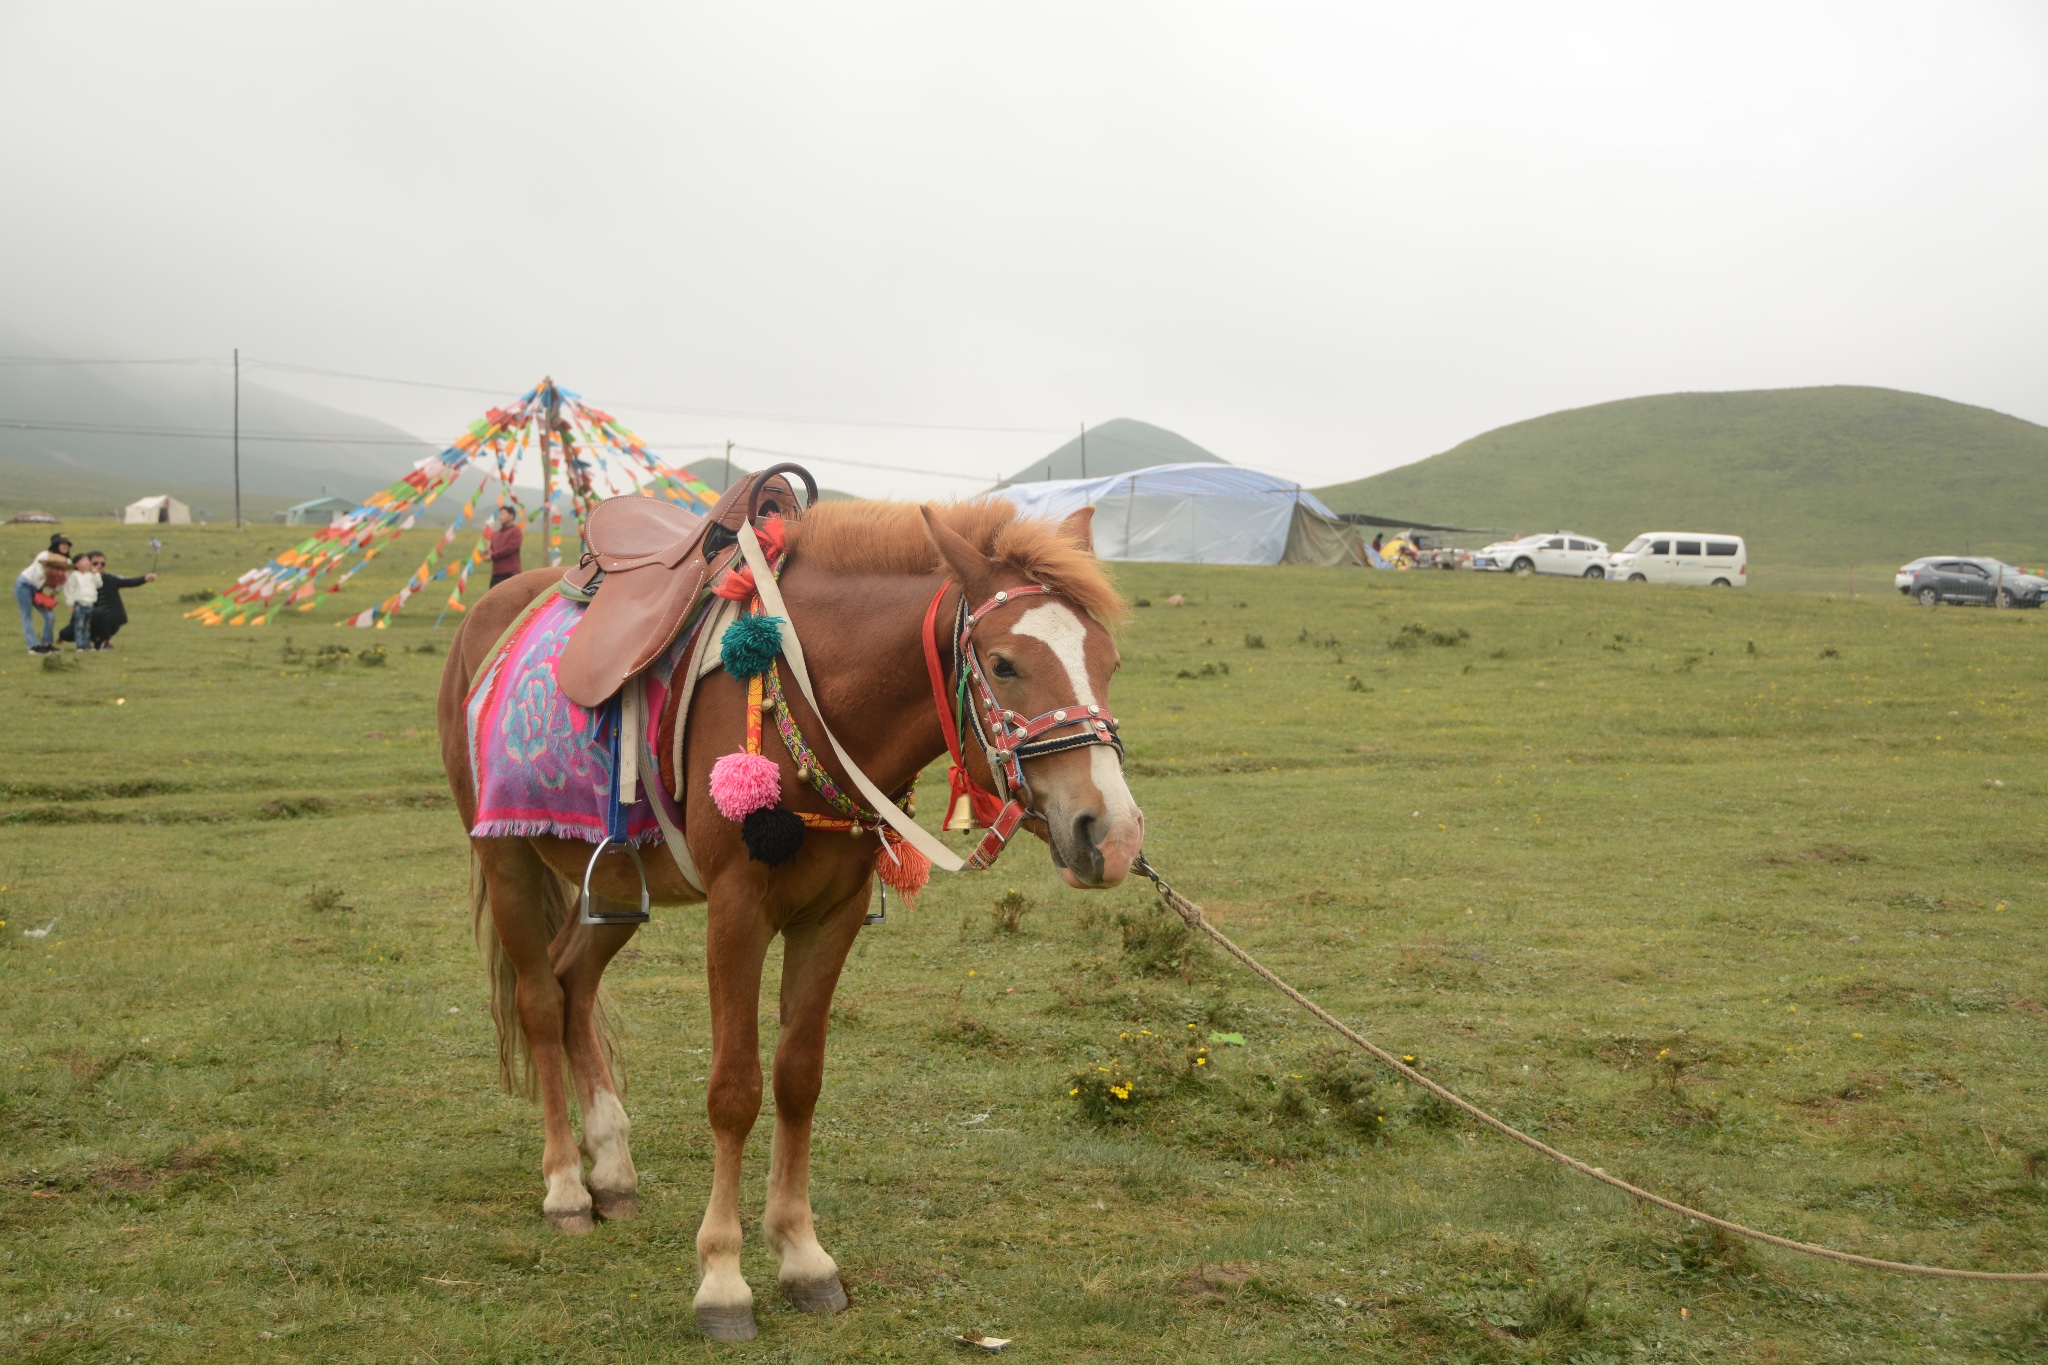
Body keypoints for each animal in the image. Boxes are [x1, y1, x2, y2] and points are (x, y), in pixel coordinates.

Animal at [438, 497, 1146, 1342]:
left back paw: (611, 1168)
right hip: (505, 856)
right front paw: (722, 1277)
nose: (1112, 834)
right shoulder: (737, 910)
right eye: (1004, 664)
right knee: (541, 1000)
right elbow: (735, 1088)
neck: (811, 695)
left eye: (1109, 662)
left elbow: (798, 1077)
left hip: (609, 878)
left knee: (574, 979)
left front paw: (804, 1257)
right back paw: (567, 1187)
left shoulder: (832, 914)